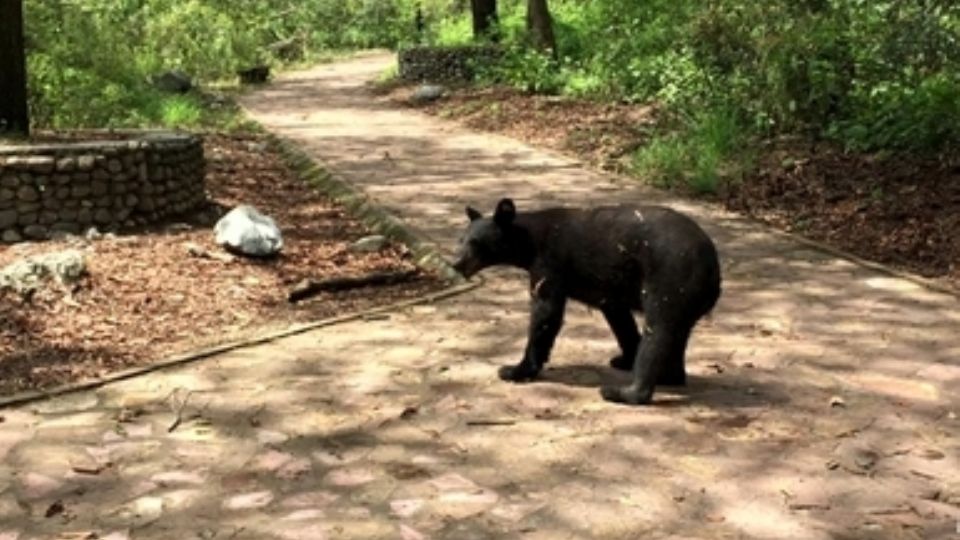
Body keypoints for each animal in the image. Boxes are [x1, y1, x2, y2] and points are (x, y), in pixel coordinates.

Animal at [452, 198, 721, 405]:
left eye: (476, 243)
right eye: (461, 240)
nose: (456, 263)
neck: (528, 242)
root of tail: (713, 267)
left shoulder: (550, 263)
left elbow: (546, 312)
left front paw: (515, 369)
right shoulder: (609, 285)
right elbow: (618, 316)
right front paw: (625, 357)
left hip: (672, 279)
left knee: (659, 332)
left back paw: (625, 392)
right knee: (677, 336)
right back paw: (669, 375)